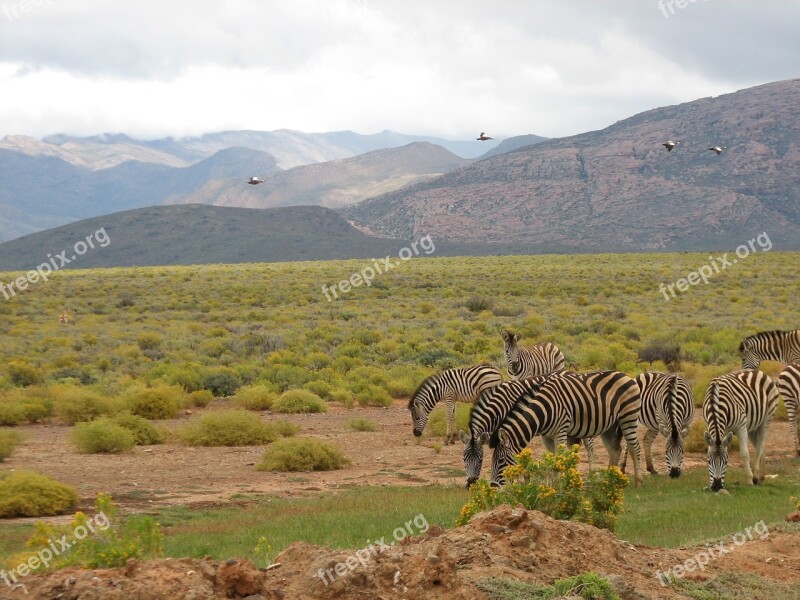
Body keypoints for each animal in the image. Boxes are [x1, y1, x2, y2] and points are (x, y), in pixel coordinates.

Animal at [488, 370, 644, 488]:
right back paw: (609, 480)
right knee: (615, 450)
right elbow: (551, 460)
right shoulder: (546, 437)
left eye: (501, 461)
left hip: (628, 417)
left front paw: (557, 486)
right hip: (610, 426)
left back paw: (638, 482)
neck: (543, 412)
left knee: (634, 447)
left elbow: (559, 459)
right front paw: (551, 485)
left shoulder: (561, 432)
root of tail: (625, 375)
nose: (493, 486)